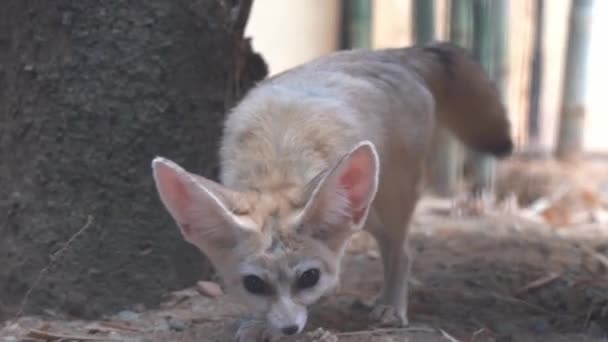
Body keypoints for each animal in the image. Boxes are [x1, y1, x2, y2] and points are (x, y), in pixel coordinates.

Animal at [153, 41, 512, 340]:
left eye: (309, 278)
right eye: (254, 284)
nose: (289, 329)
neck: (277, 166)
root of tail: (391, 54)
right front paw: (257, 323)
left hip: (383, 204)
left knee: (402, 252)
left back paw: (392, 305)